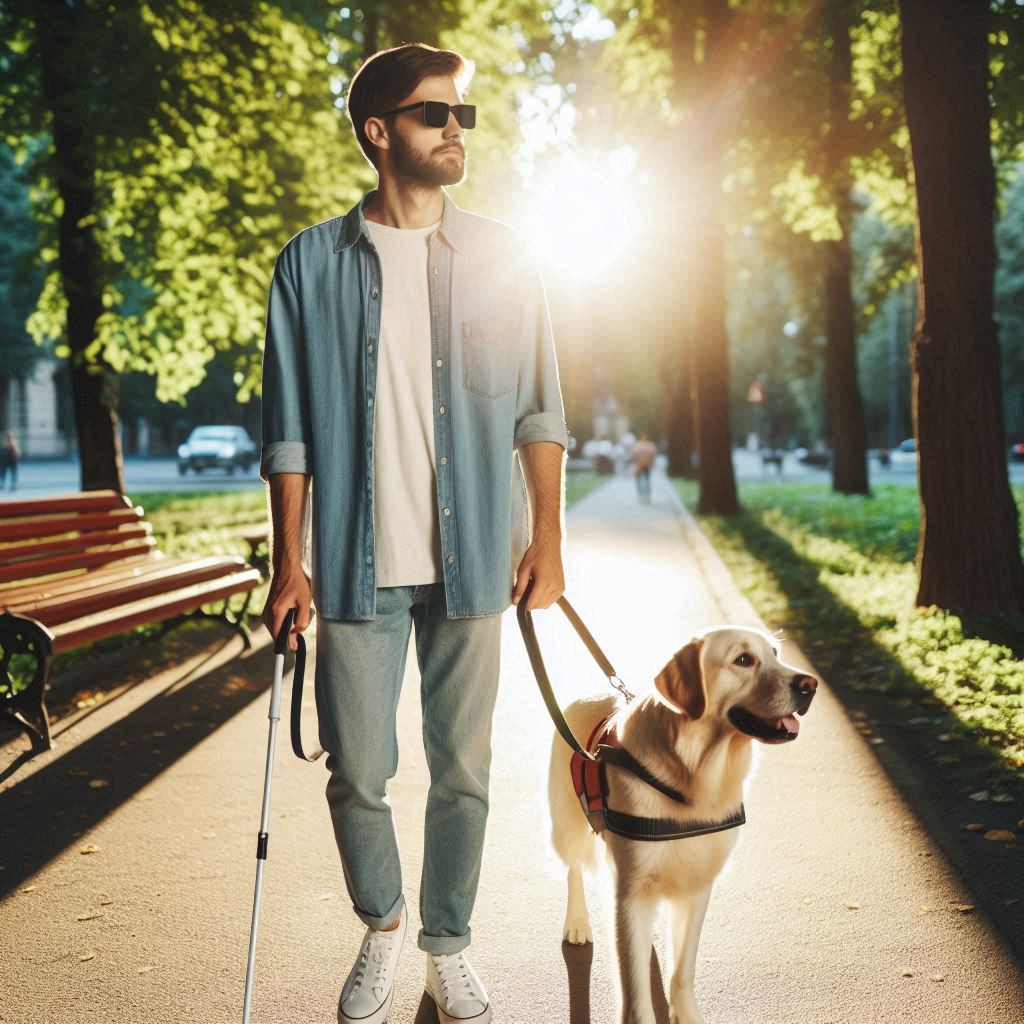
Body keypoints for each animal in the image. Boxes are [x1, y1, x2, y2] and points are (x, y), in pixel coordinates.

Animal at [548, 622, 819, 1024]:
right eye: (743, 659)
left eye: (775, 653)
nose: (810, 685)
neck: (695, 777)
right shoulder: (632, 888)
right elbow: (634, 990)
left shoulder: (697, 883)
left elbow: (683, 968)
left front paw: (686, 1012)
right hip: (566, 825)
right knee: (574, 868)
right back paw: (578, 921)